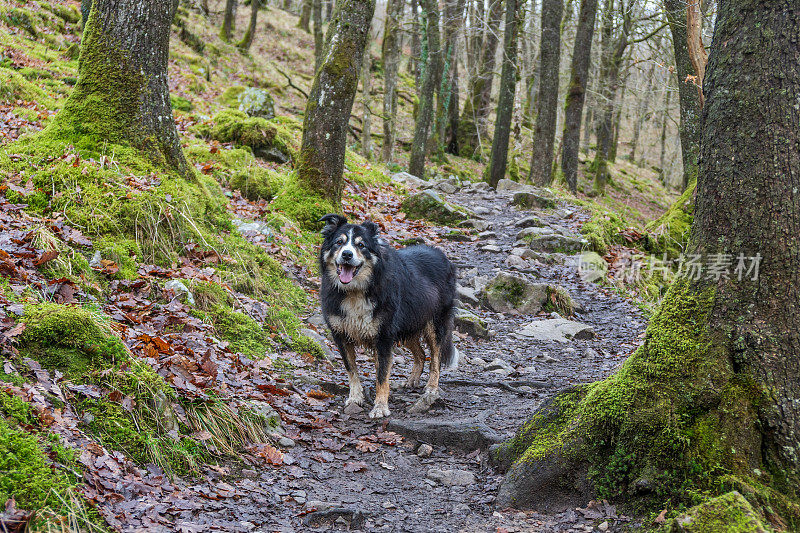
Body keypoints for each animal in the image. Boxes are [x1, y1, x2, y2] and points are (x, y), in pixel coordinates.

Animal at [318, 214, 456, 418]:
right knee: (421, 354)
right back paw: (412, 380)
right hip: (407, 324)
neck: (355, 291)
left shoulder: (383, 337)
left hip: (435, 324)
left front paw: (380, 407)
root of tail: (441, 254)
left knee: (435, 359)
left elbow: (382, 375)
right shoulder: (341, 335)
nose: (347, 255)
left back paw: (432, 388)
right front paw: (355, 397)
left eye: (361, 245)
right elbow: (352, 369)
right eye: (339, 243)